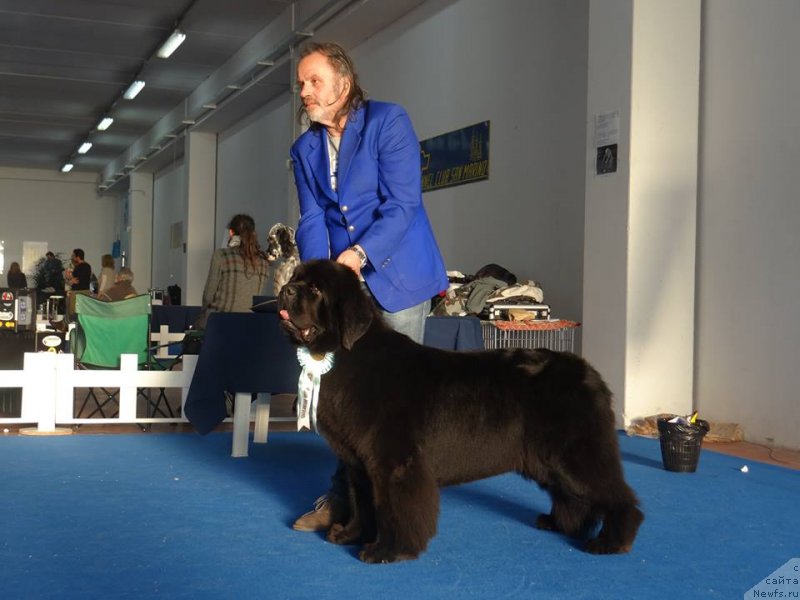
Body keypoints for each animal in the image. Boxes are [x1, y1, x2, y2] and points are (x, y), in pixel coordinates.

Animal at [280, 262, 644, 564]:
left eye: (315, 289)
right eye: (296, 278)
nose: (286, 290)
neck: (347, 355)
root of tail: (590, 373)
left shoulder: (394, 462)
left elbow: (394, 509)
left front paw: (388, 550)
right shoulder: (358, 462)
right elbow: (361, 502)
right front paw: (349, 534)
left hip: (576, 454)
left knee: (615, 495)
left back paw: (611, 541)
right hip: (548, 459)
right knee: (572, 494)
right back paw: (560, 524)